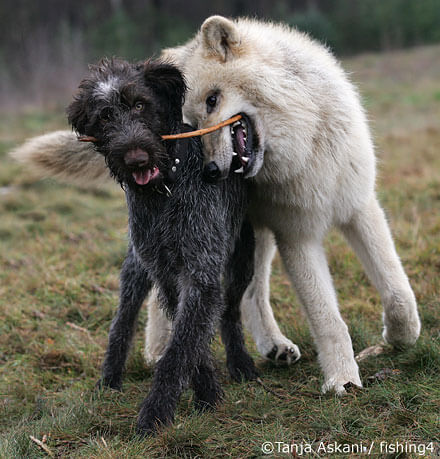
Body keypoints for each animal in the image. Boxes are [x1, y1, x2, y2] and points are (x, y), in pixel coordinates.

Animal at [10, 16, 422, 394]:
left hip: (250, 235)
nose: (209, 172)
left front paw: (400, 337)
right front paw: (343, 379)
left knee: (249, 295)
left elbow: (398, 292)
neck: (304, 142)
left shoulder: (358, 209)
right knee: (164, 298)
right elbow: (327, 318)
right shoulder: (298, 238)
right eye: (190, 121)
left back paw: (273, 346)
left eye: (213, 100)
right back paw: (158, 351)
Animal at [66, 59, 258, 436]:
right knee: (121, 323)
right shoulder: (167, 274)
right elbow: (189, 346)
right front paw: (206, 393)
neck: (163, 192)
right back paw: (109, 380)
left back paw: (240, 362)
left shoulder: (200, 272)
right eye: (104, 117)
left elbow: (181, 348)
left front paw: (157, 412)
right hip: (135, 271)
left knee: (229, 312)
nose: (136, 159)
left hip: (243, 257)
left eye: (141, 104)